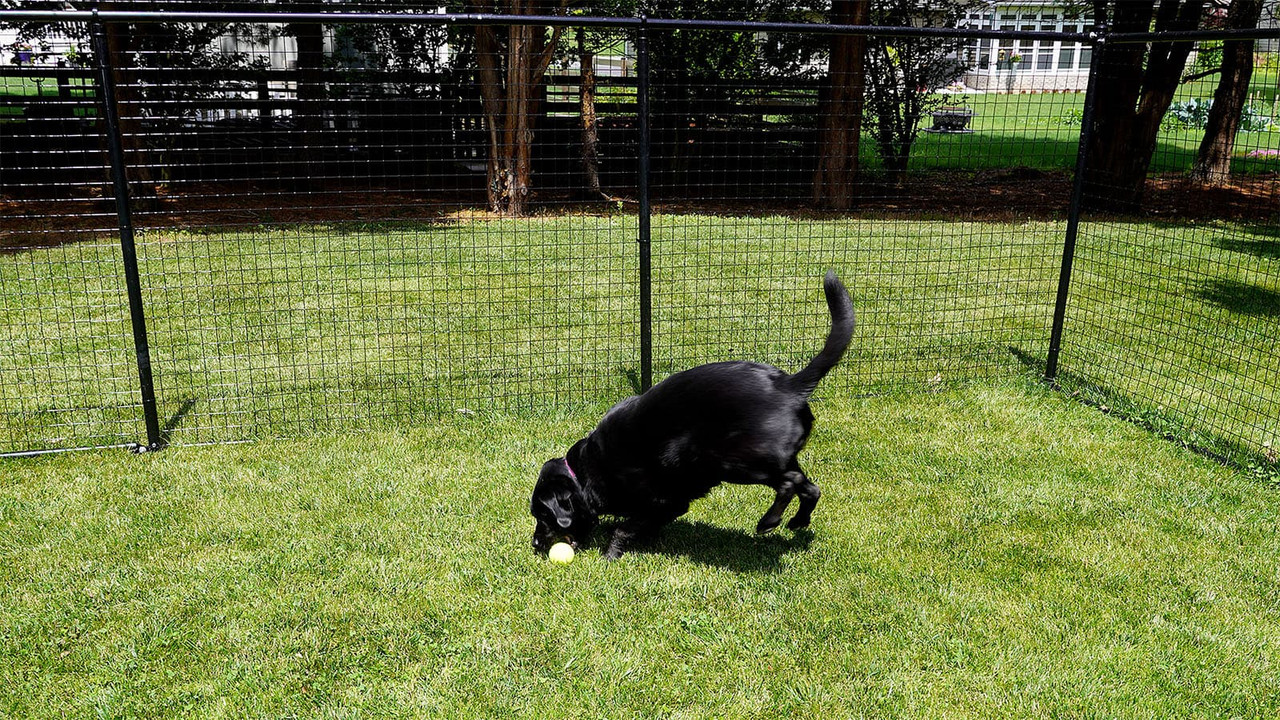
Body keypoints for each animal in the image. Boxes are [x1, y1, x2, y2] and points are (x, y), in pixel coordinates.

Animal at [529, 271, 860, 558]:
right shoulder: (669, 506)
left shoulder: (662, 501)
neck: (585, 472)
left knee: (789, 482)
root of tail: (788, 385)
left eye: (542, 514)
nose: (534, 543)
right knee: (811, 488)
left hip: (735, 461)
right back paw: (797, 522)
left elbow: (624, 528)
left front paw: (611, 554)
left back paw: (769, 522)